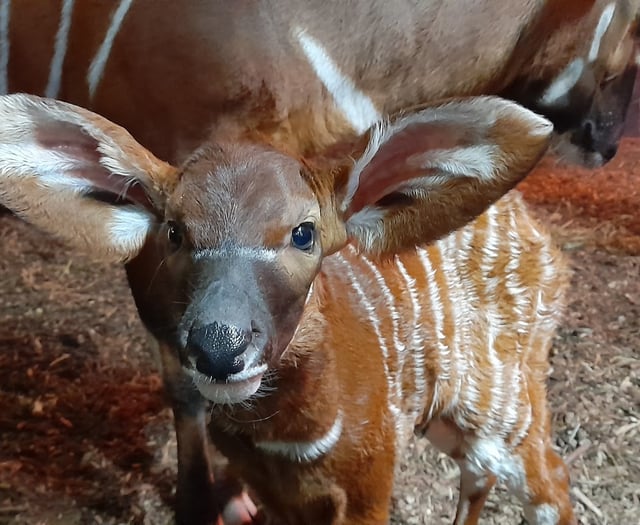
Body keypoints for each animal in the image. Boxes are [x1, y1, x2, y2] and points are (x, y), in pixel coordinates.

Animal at [0, 92, 572, 520]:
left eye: (303, 232)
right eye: (174, 231)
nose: (219, 347)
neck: (289, 445)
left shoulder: (369, 483)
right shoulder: (270, 489)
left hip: (505, 405)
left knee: (552, 481)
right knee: (481, 473)